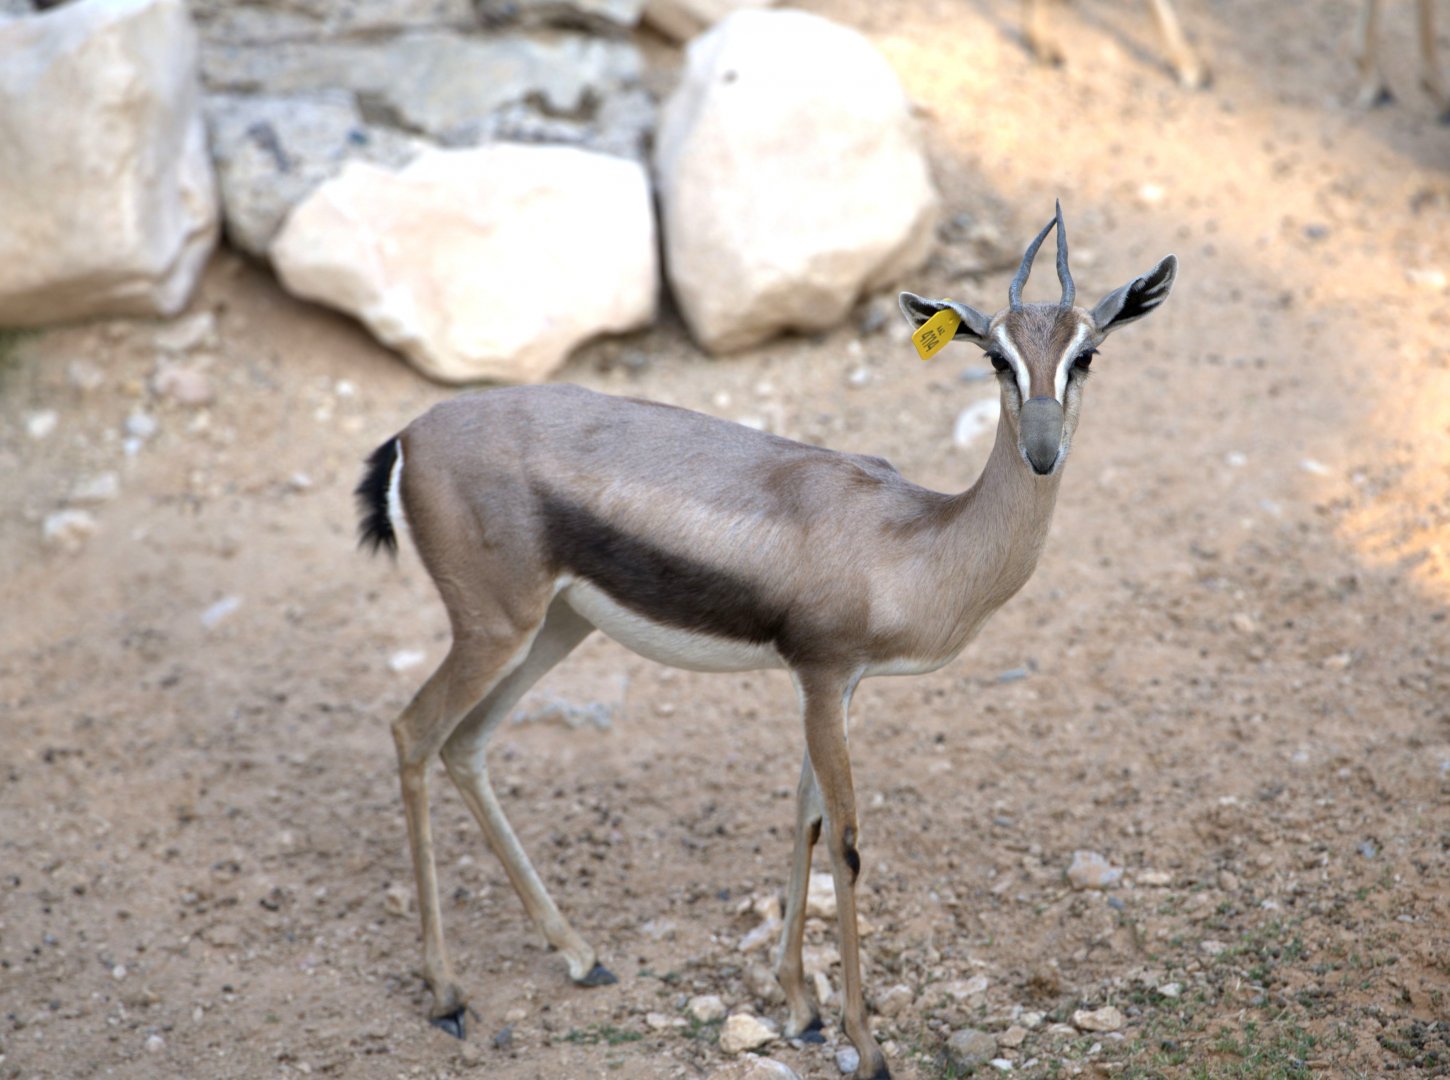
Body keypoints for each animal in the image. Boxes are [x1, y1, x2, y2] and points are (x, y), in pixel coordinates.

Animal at [355, 205, 1176, 1079]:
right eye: (996, 356)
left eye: (1086, 353)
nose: (1043, 453)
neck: (916, 542)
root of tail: (410, 435)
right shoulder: (820, 676)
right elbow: (845, 840)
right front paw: (865, 1043)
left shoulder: (839, 688)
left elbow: (806, 818)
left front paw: (801, 1008)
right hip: (496, 628)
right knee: (413, 731)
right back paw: (447, 994)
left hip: (553, 628)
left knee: (464, 745)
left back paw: (580, 956)